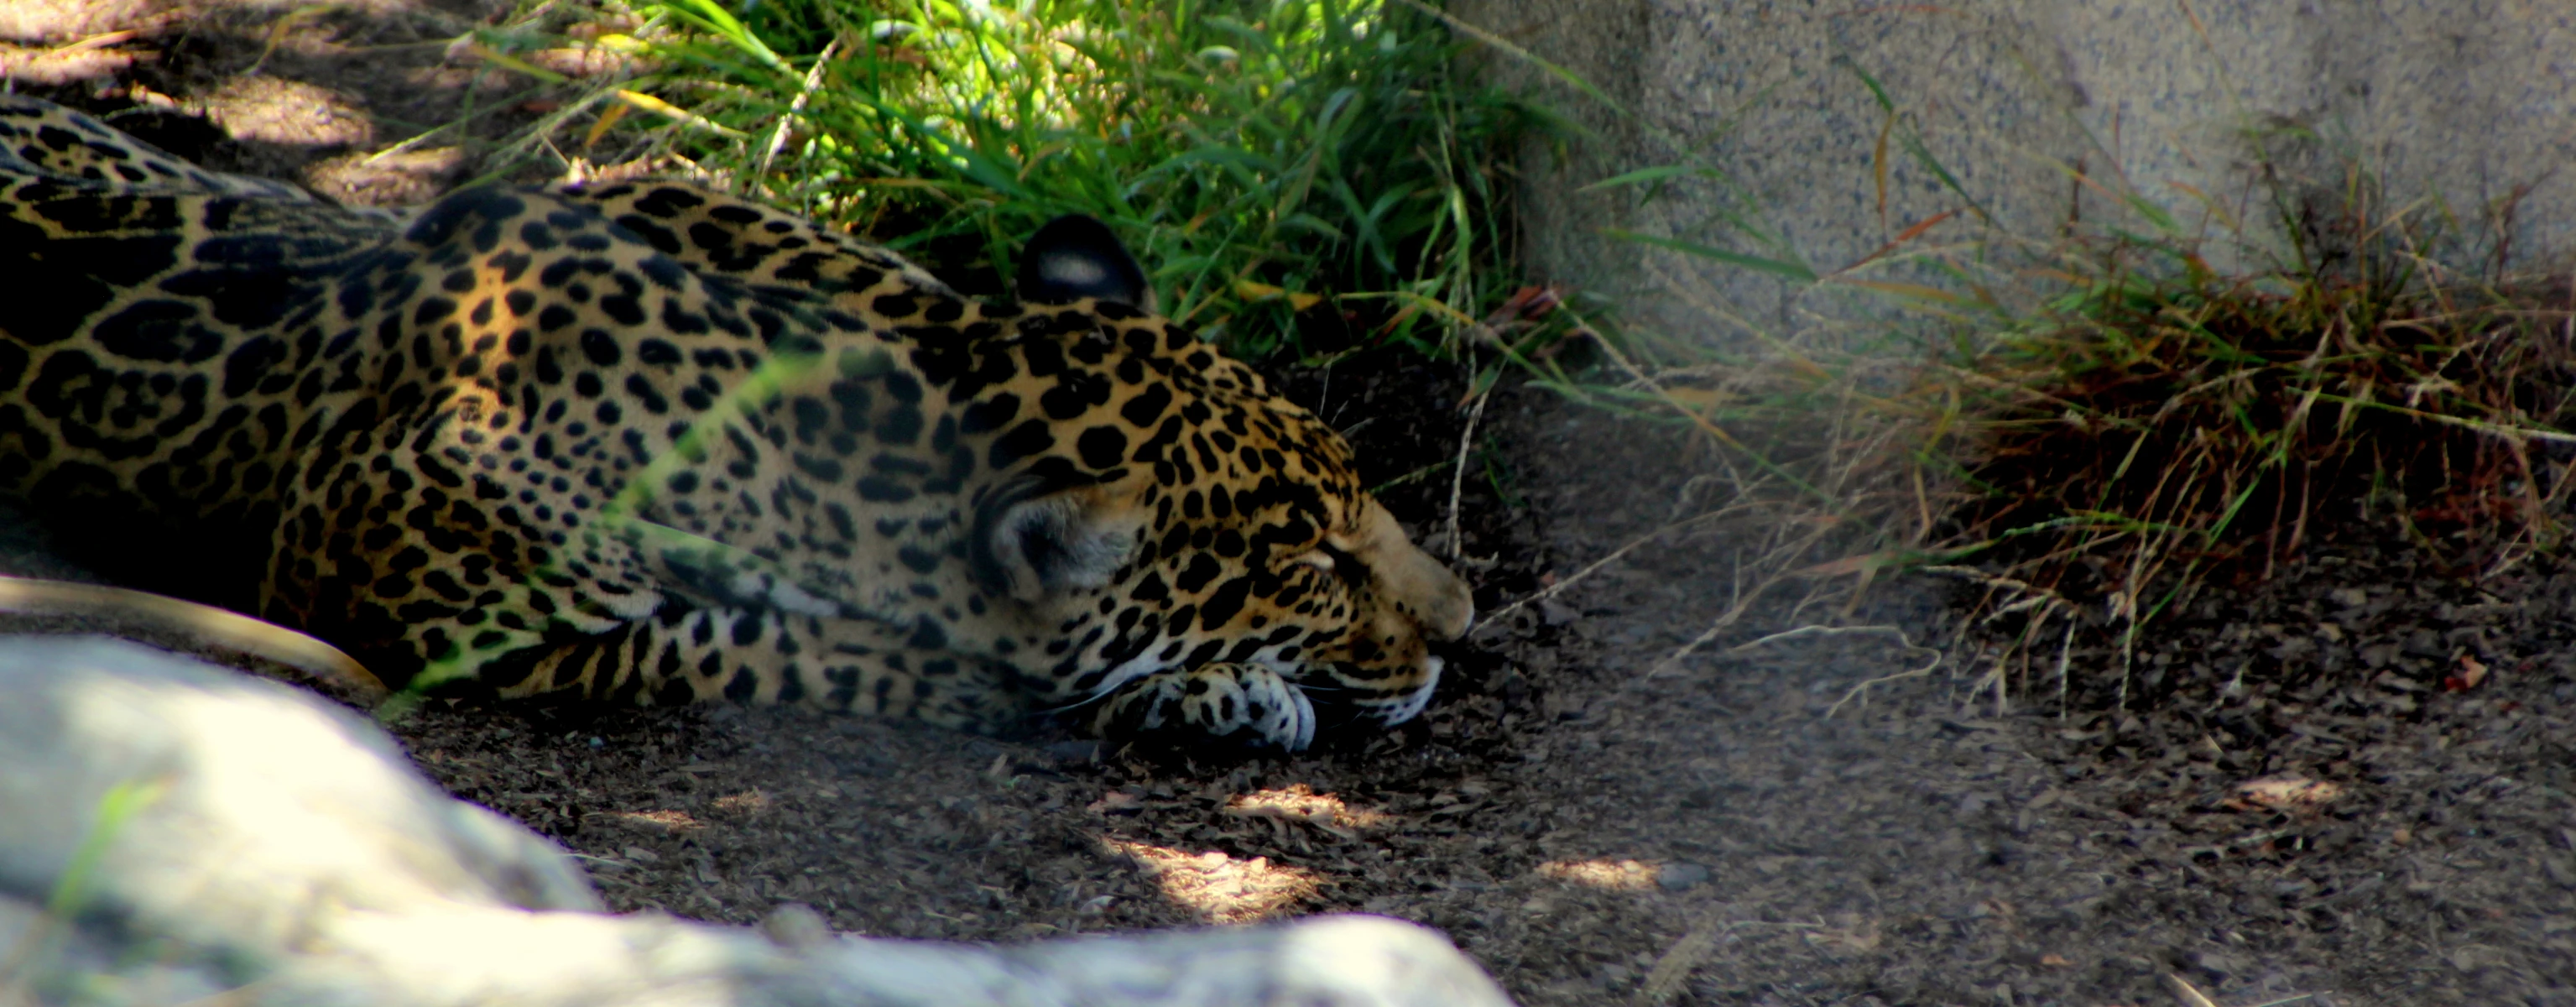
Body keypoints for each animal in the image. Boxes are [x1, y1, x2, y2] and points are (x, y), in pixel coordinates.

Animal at [0, 98, 1473, 752]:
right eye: (1308, 565)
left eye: (1362, 506)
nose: (1463, 626)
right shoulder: (433, 608)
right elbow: (758, 648)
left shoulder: (655, 199)